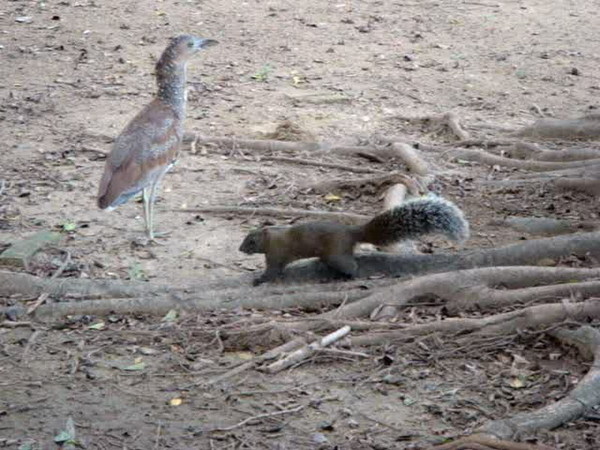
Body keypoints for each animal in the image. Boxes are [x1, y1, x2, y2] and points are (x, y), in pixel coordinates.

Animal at [239, 194, 468, 284]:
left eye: (251, 241)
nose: (240, 249)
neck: (272, 239)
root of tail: (350, 233)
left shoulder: (276, 256)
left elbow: (272, 272)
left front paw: (258, 280)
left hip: (336, 254)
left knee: (351, 265)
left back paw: (347, 276)